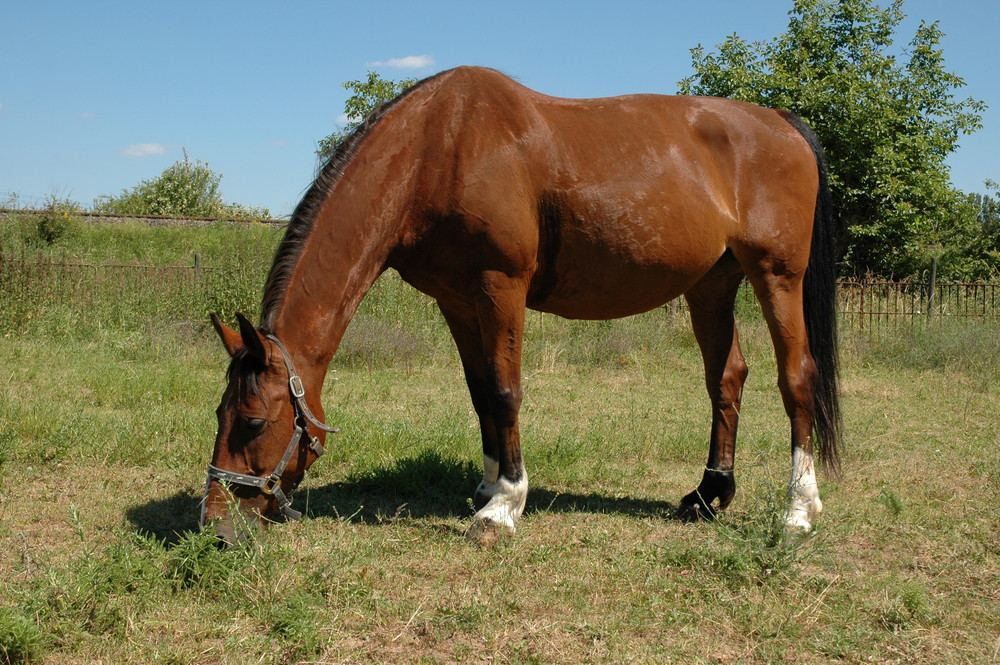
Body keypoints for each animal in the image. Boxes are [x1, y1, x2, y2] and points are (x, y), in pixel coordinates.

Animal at [207, 65, 840, 544]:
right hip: (711, 286)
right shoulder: (456, 299)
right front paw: (489, 488)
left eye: (253, 420)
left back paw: (798, 511)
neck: (438, 148)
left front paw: (502, 508)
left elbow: (506, 390)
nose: (216, 525)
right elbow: (480, 391)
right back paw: (710, 495)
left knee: (797, 380)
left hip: (777, 276)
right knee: (726, 378)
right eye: (219, 413)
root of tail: (781, 122)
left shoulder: (500, 284)